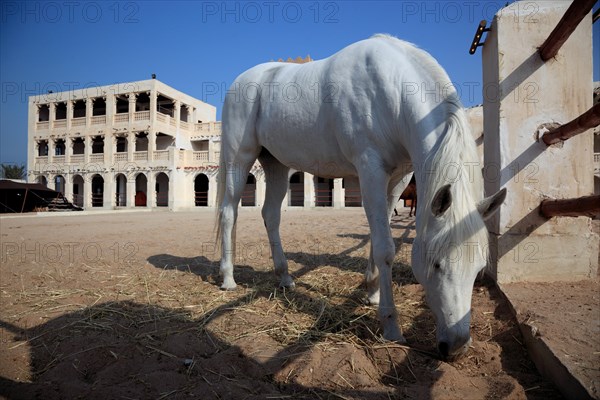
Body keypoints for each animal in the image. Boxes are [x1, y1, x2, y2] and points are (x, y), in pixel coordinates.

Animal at [216, 33, 506, 360]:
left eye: (479, 269)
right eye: (436, 264)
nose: (455, 347)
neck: (392, 91)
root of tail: (241, 80)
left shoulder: (397, 179)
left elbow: (378, 240)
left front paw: (372, 293)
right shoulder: (370, 171)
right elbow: (385, 248)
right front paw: (391, 325)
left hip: (276, 164)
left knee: (271, 216)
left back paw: (285, 277)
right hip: (239, 159)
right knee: (229, 213)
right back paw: (228, 278)